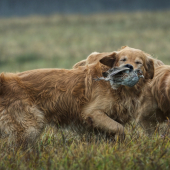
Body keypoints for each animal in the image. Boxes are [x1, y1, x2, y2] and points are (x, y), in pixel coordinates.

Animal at [0, 45, 167, 147]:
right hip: (29, 127)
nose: (129, 67)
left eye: (139, 62)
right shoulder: (92, 113)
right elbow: (119, 128)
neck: (119, 89)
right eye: (123, 59)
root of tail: (7, 81)